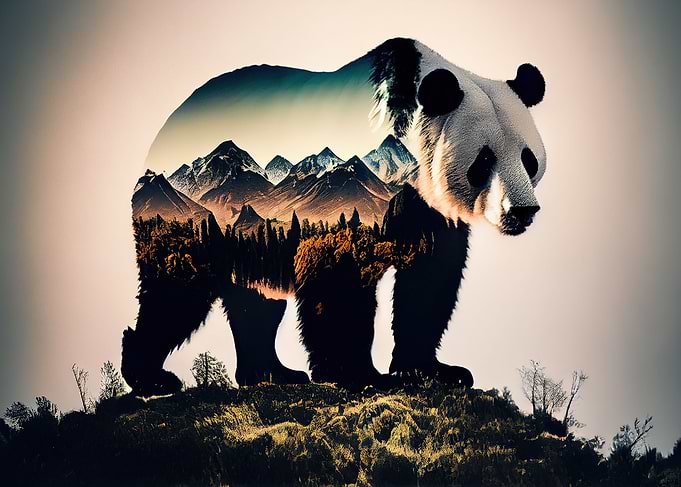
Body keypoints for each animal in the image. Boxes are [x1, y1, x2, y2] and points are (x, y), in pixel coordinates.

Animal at [122, 38, 547, 396]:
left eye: (528, 158)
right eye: (484, 160)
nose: (522, 211)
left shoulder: (430, 207)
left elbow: (428, 278)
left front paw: (435, 371)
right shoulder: (350, 205)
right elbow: (338, 279)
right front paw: (360, 375)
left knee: (256, 298)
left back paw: (270, 373)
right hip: (193, 217)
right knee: (177, 292)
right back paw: (150, 375)